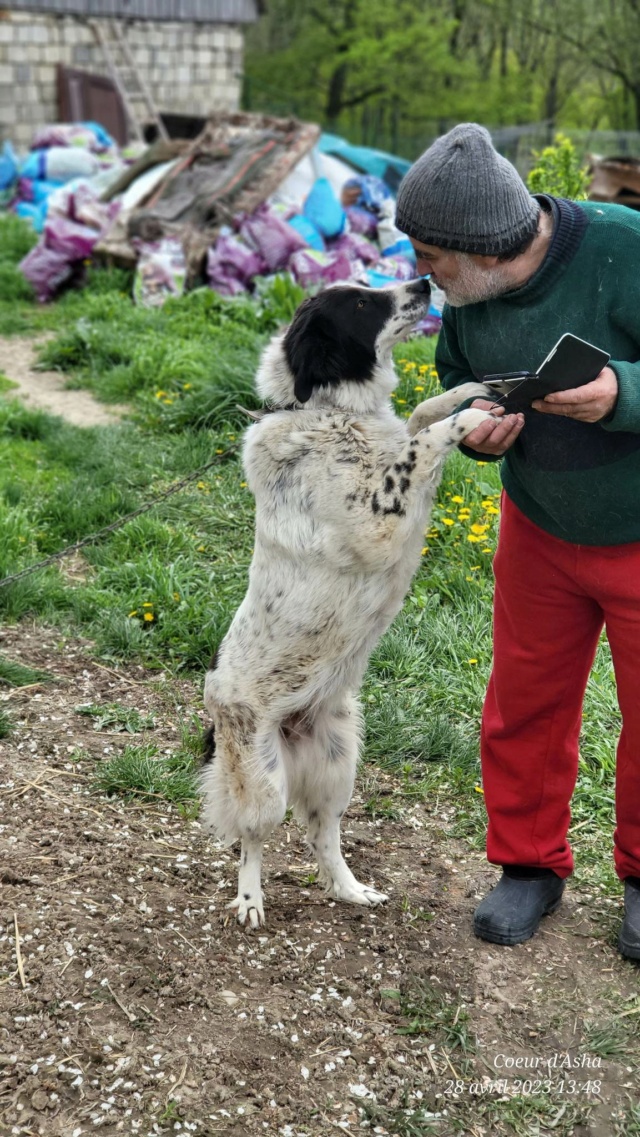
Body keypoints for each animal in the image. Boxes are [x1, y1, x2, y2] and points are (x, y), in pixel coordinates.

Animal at [201, 279, 495, 927]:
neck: (325, 410)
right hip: (265, 781)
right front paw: (470, 416)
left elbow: (419, 415)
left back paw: (350, 888)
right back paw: (250, 900)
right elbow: (423, 440)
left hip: (339, 763)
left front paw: (472, 391)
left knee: (322, 834)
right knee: (253, 837)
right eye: (361, 303)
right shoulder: (377, 517)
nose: (422, 282)